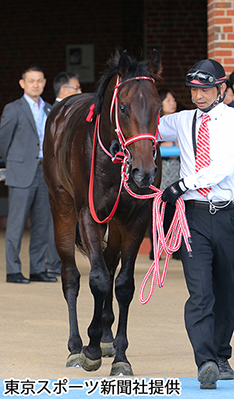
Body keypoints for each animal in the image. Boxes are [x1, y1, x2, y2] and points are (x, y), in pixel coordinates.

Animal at [43, 48, 162, 376]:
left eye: (158, 107)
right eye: (122, 106)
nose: (144, 173)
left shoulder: (136, 219)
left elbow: (122, 285)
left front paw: (120, 355)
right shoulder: (88, 215)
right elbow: (96, 279)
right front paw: (91, 349)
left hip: (117, 224)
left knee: (109, 268)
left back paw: (106, 336)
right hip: (62, 208)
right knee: (71, 275)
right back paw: (75, 346)